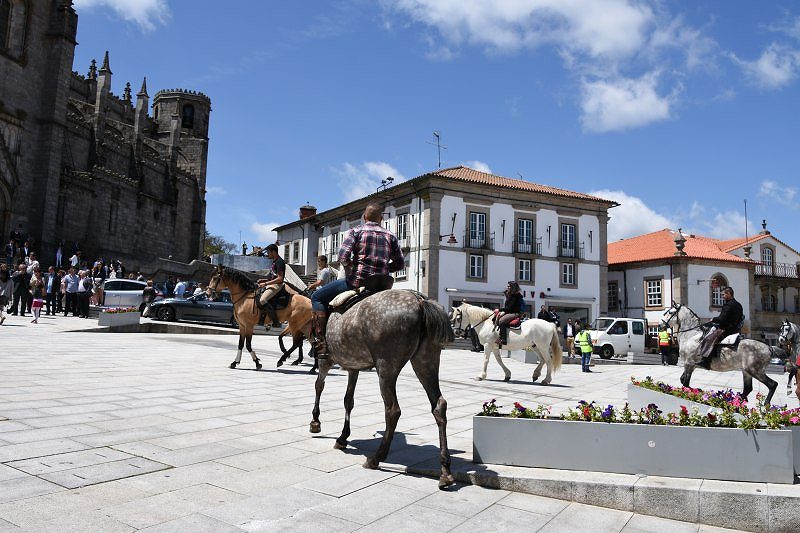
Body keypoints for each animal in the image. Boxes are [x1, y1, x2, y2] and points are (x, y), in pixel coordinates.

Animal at [308, 288, 456, 488]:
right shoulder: (353, 366)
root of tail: (419, 301)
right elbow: (348, 400)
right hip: (426, 359)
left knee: (392, 410)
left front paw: (315, 422)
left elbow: (319, 386)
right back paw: (445, 471)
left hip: (386, 365)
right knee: (439, 405)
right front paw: (342, 437)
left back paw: (375, 458)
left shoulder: (326, 360)